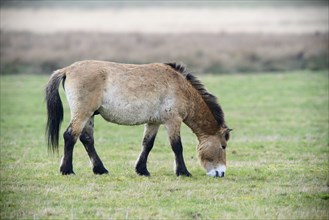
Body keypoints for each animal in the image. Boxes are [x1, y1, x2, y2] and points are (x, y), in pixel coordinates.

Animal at [45, 60, 231, 177]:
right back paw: (67, 170)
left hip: (89, 115)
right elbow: (177, 147)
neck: (181, 87)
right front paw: (183, 172)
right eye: (223, 146)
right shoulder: (172, 121)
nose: (221, 173)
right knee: (70, 136)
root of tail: (67, 69)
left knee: (86, 139)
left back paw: (100, 169)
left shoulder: (154, 122)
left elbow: (147, 144)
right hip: (83, 113)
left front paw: (142, 170)